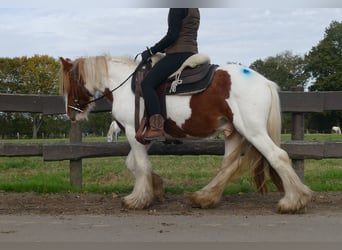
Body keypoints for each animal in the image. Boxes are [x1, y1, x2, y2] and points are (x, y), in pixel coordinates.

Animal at [59, 54, 312, 213]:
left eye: (69, 83)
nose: (71, 114)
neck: (126, 86)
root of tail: (265, 82)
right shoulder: (143, 136)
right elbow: (134, 164)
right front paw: (155, 187)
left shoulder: (132, 131)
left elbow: (140, 165)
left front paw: (138, 199)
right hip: (234, 132)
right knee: (227, 166)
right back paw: (204, 197)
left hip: (253, 130)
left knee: (278, 157)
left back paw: (293, 201)